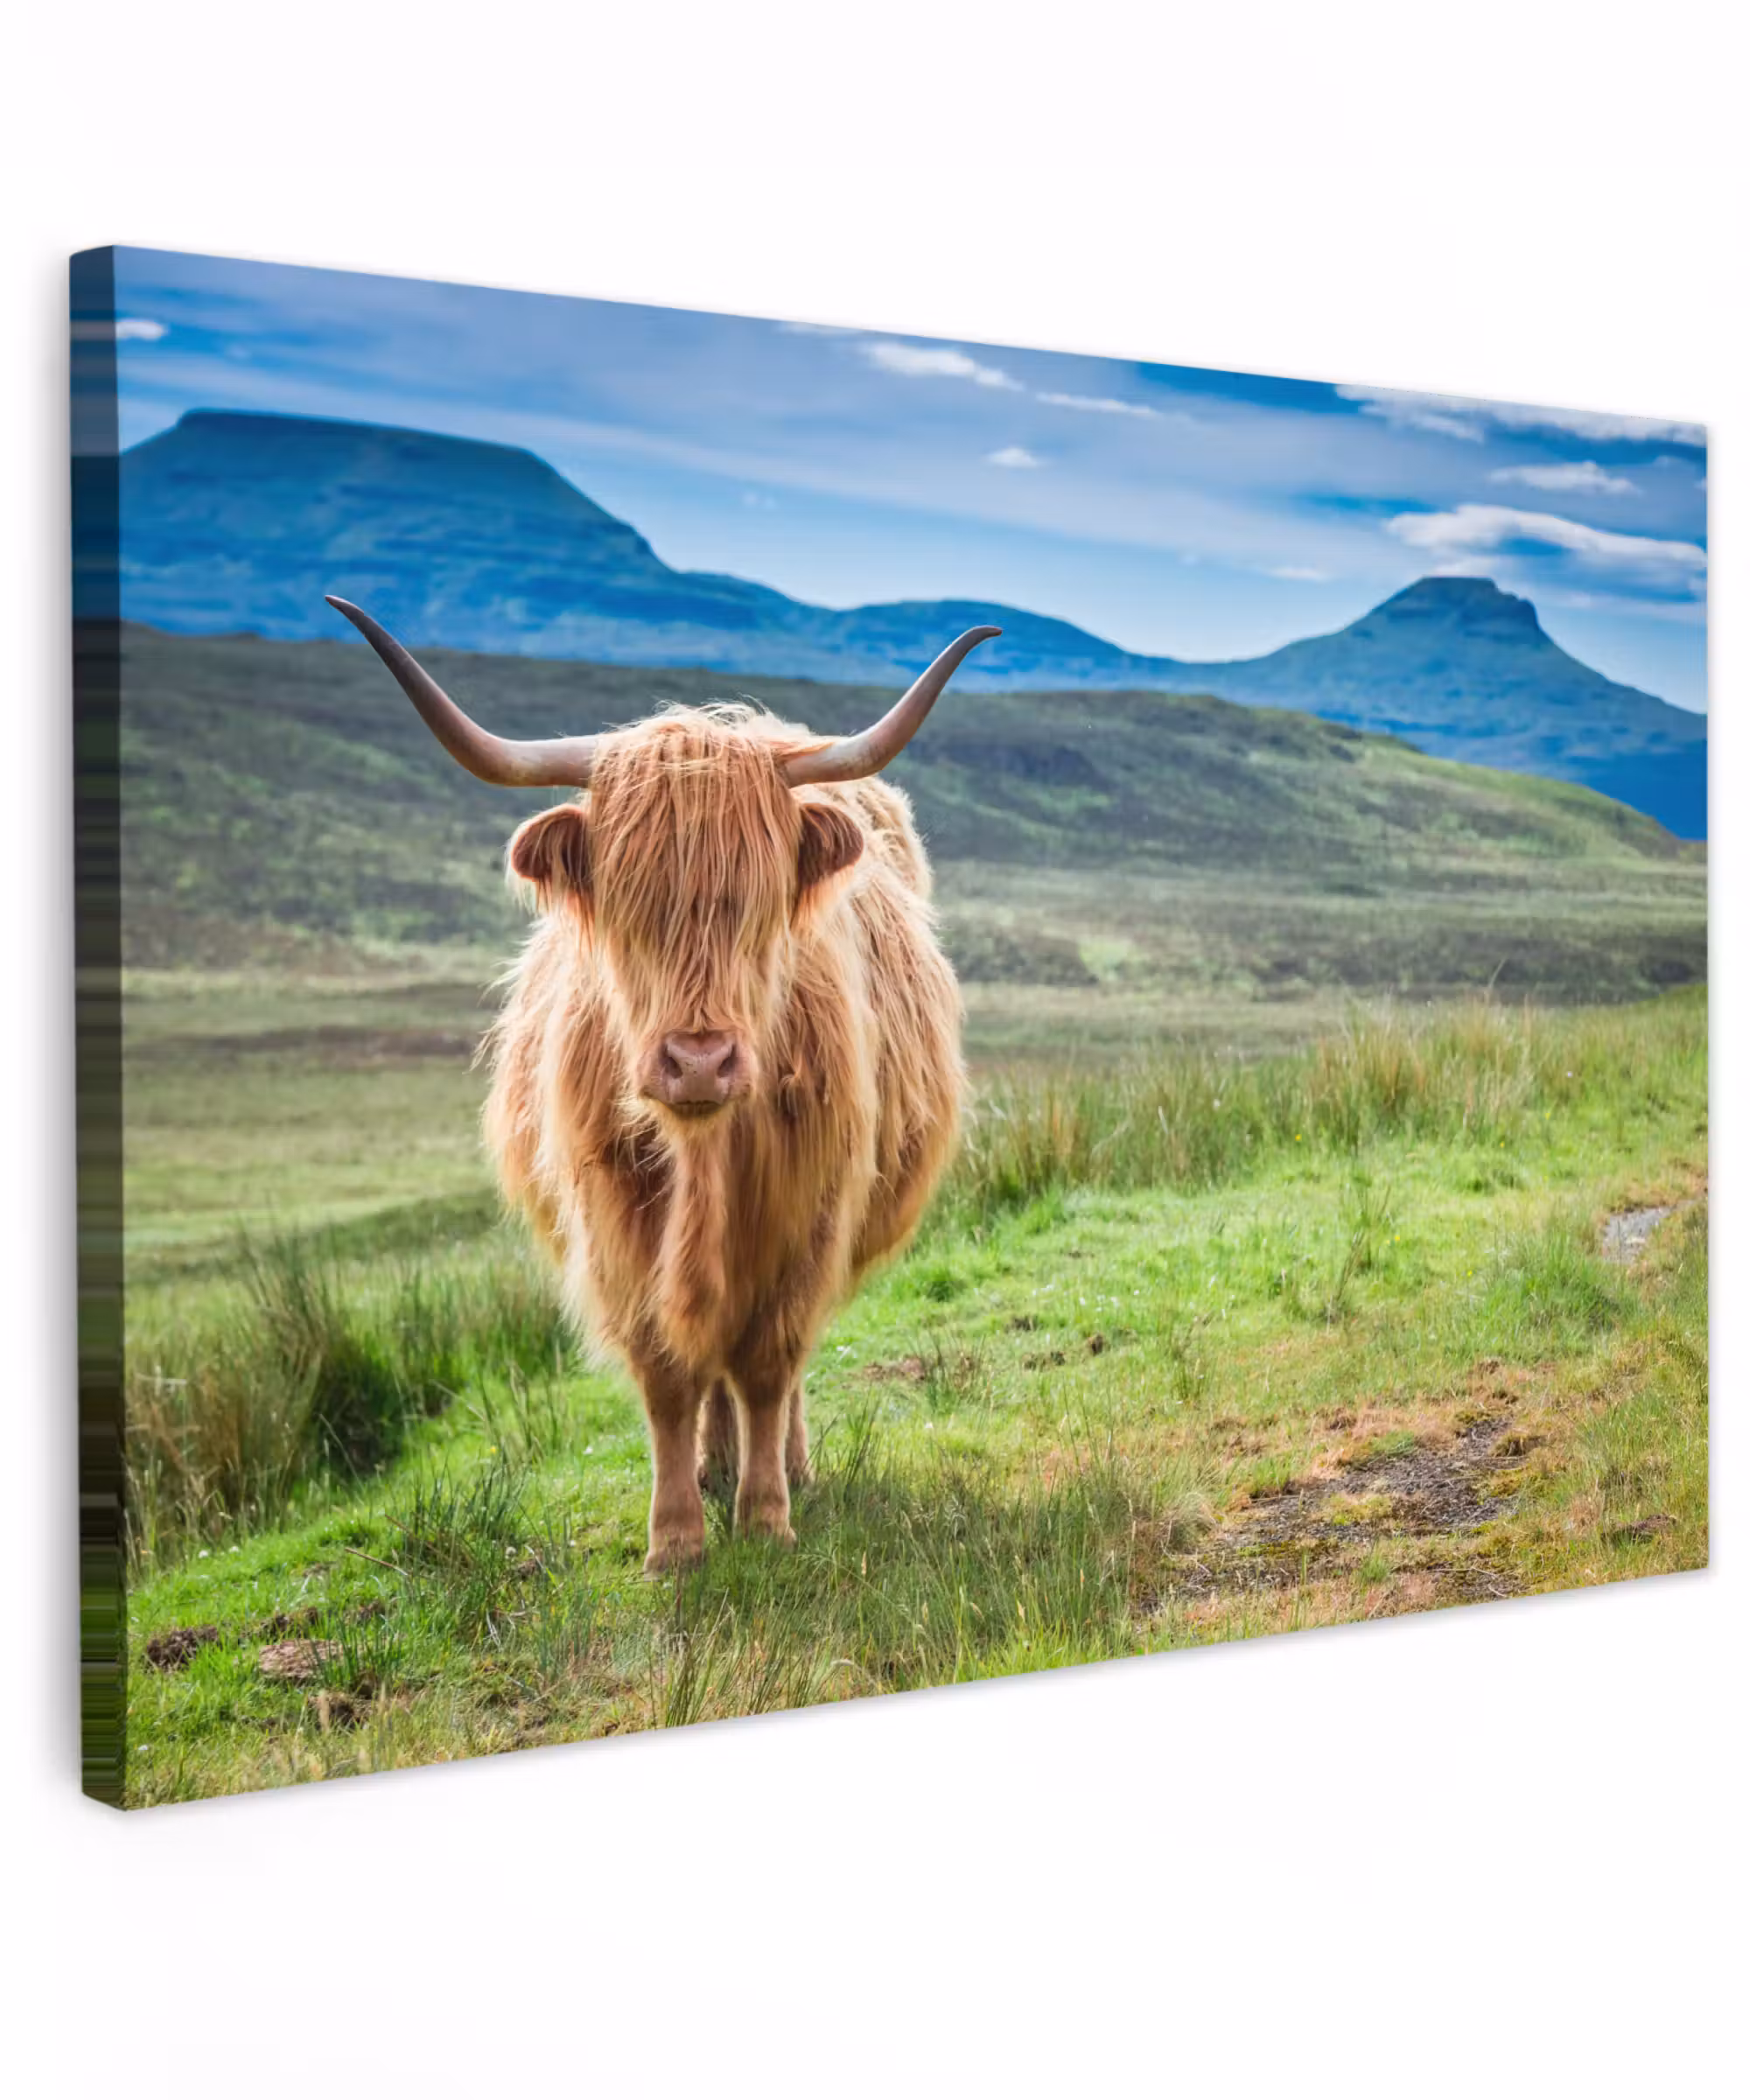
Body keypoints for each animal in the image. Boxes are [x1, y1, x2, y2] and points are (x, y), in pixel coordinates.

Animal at [326, 597, 995, 1572]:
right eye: (628, 903)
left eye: (757, 903)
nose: (699, 1061)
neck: (703, 1155)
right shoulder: (616, 1223)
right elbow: (668, 1374)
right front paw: (676, 1537)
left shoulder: (809, 1214)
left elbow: (770, 1364)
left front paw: (766, 1516)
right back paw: (715, 1468)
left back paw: (785, 1468)